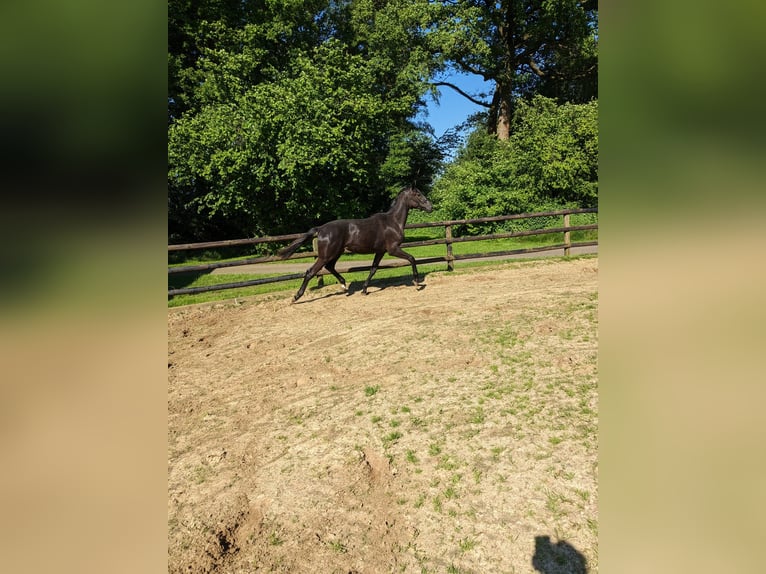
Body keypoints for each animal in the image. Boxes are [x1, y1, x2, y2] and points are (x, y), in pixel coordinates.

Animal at [278, 189, 436, 306]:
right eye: (418, 194)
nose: (430, 207)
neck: (392, 222)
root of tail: (321, 229)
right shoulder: (393, 249)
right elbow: (411, 258)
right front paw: (417, 282)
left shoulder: (380, 251)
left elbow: (373, 269)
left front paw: (364, 290)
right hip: (326, 255)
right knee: (310, 272)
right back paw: (296, 297)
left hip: (336, 253)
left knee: (330, 267)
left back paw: (344, 285)